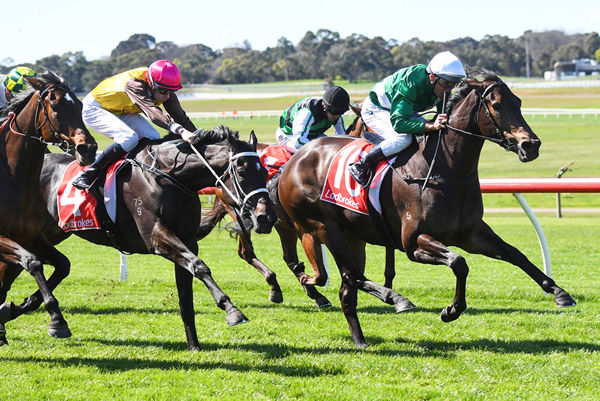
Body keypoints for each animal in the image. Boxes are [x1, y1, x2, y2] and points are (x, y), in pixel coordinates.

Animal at [0, 69, 98, 344]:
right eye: (54, 105)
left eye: (80, 105)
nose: (88, 148)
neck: (16, 177)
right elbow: (33, 263)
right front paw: (57, 319)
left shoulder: (30, 236)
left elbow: (62, 265)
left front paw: (12, 310)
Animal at [33, 126, 276, 350]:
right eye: (242, 172)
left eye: (265, 173)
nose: (266, 218)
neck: (171, 178)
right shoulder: (156, 237)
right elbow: (200, 266)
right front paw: (232, 310)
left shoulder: (188, 241)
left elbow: (187, 294)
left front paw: (194, 345)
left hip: (50, 232)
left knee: (50, 264)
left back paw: (29, 305)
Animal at [274, 67, 576, 348]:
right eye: (497, 105)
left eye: (519, 102)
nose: (531, 145)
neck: (446, 170)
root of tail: (293, 162)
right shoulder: (412, 242)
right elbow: (459, 263)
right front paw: (451, 310)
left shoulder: (471, 234)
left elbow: (515, 254)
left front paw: (559, 292)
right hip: (323, 229)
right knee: (347, 275)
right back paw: (394, 299)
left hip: (353, 236)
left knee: (348, 287)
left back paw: (361, 337)